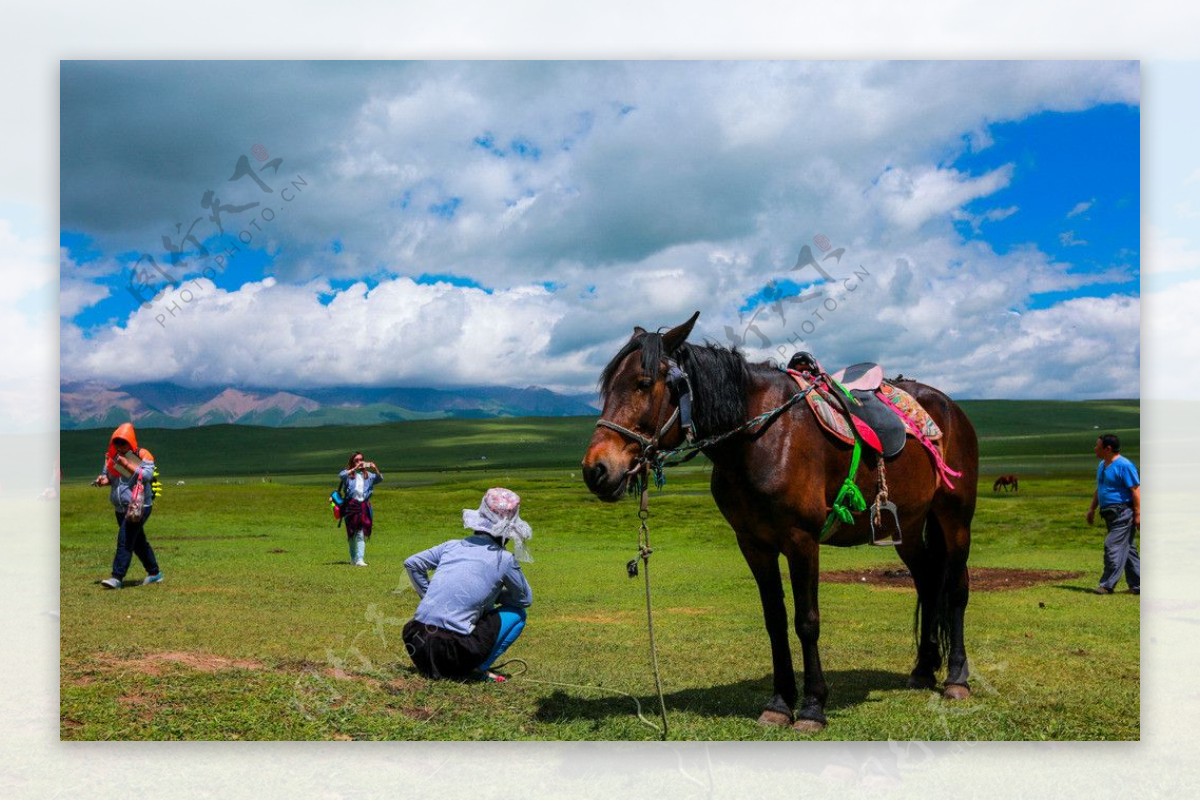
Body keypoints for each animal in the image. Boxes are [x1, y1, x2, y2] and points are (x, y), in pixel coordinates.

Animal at [576, 311, 979, 733]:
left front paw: (813, 706)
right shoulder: (754, 543)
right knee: (928, 582)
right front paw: (779, 704)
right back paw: (923, 670)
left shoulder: (802, 540)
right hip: (909, 528)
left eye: (643, 383)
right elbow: (775, 619)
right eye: (607, 388)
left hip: (954, 519)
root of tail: (949, 408)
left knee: (956, 589)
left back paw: (956, 679)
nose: (595, 470)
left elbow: (806, 620)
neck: (757, 438)